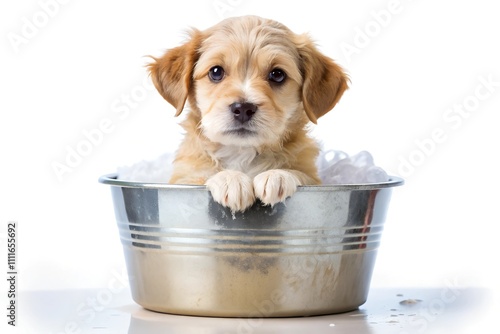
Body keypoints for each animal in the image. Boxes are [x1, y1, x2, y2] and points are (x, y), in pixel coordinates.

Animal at [148, 15, 348, 211]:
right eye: (216, 72)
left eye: (277, 74)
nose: (243, 108)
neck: (241, 153)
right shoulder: (184, 177)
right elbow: (203, 176)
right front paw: (230, 179)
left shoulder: (313, 177)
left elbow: (300, 174)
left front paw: (278, 175)